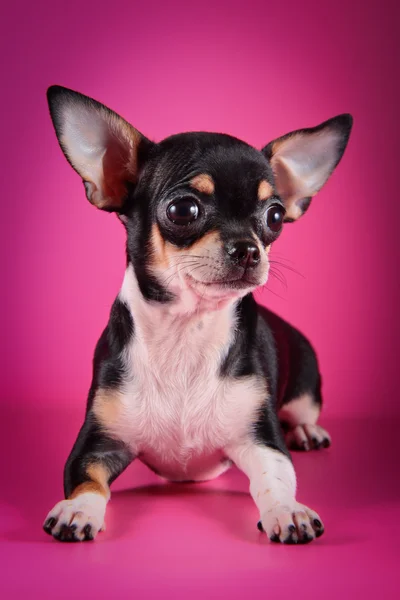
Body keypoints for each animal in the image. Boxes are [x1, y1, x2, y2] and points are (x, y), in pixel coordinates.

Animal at [42, 85, 352, 544]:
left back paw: (307, 430)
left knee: (302, 412)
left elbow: (276, 479)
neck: (185, 331)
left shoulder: (261, 442)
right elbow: (86, 480)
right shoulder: (98, 442)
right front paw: (78, 509)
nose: (249, 249)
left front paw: (287, 510)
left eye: (276, 216)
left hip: (306, 384)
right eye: (183, 210)